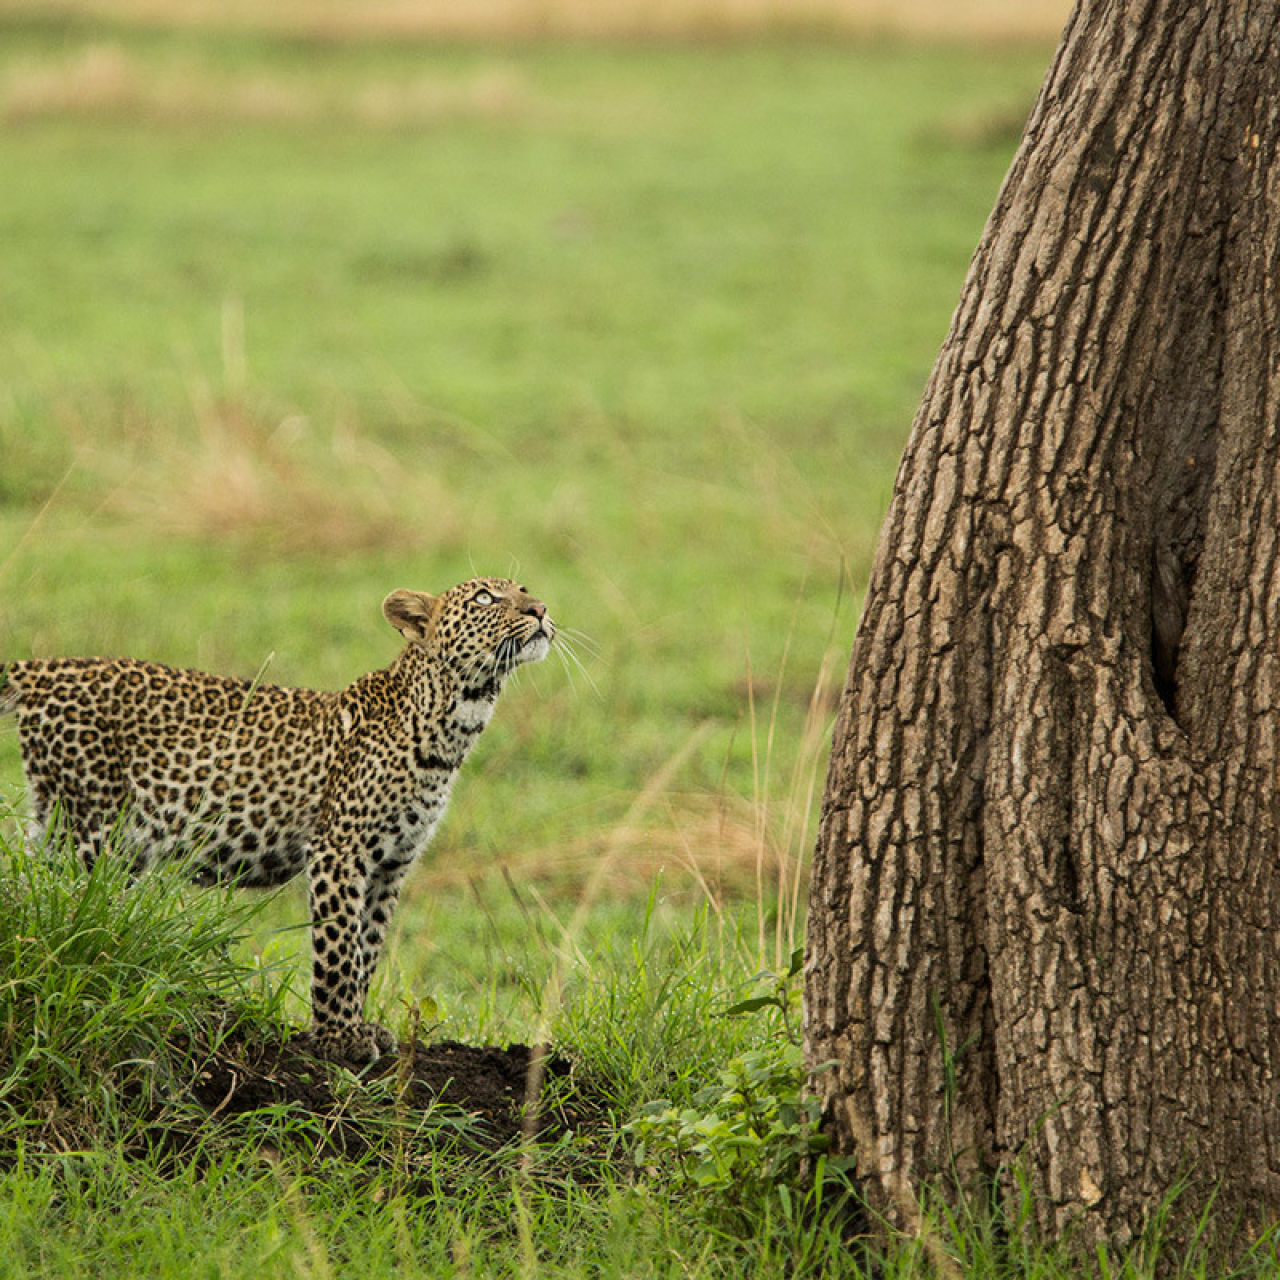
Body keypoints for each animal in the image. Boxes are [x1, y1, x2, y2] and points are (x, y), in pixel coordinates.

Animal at [0, 577, 554, 1063]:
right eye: (485, 598)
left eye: (523, 588)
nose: (541, 609)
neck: (456, 718)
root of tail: (43, 667)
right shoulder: (339, 850)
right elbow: (338, 949)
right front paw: (338, 1039)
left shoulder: (392, 864)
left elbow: (368, 948)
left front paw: (359, 1026)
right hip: (92, 830)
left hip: (69, 827)